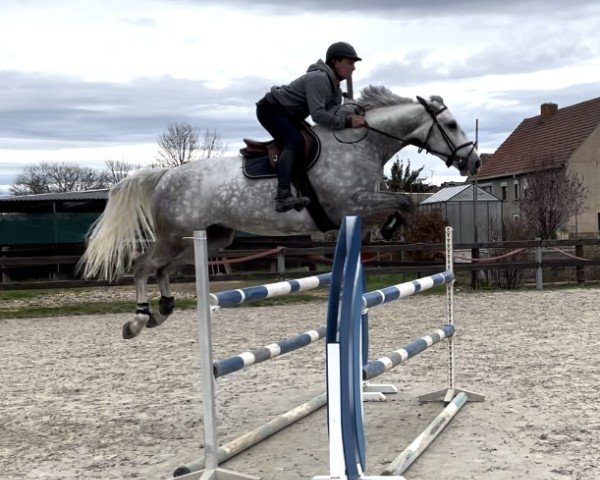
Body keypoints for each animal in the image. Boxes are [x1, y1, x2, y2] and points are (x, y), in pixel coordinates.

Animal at [79, 87, 480, 342]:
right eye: (453, 125)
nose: (474, 161)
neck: (362, 143)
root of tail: (165, 175)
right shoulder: (352, 204)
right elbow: (403, 200)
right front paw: (391, 229)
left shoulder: (361, 204)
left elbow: (405, 201)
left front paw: (393, 230)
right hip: (175, 235)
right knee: (143, 266)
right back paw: (138, 319)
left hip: (210, 237)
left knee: (163, 270)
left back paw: (163, 309)